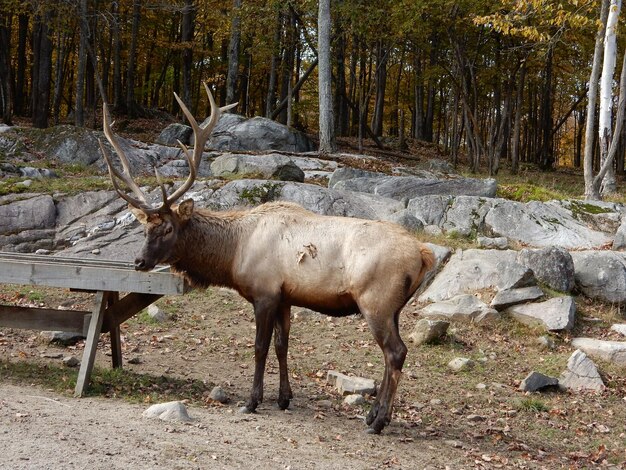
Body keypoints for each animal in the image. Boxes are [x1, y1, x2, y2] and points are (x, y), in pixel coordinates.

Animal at [101, 83, 434, 434]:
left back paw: (378, 421)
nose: (139, 262)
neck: (234, 254)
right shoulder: (284, 297)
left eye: (166, 228)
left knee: (395, 352)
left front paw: (252, 401)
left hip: (375, 301)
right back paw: (373, 415)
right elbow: (281, 345)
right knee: (390, 354)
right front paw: (284, 398)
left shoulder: (264, 292)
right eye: (144, 228)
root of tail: (424, 253)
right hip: (392, 308)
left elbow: (260, 347)